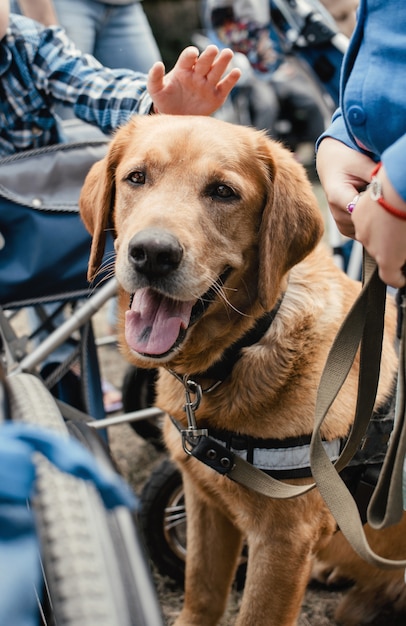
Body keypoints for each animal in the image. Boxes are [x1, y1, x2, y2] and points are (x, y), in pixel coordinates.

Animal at [79, 114, 406, 620]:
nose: (152, 253)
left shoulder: (282, 542)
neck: (239, 352)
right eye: (136, 177)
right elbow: (202, 593)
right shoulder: (204, 502)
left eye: (223, 192)